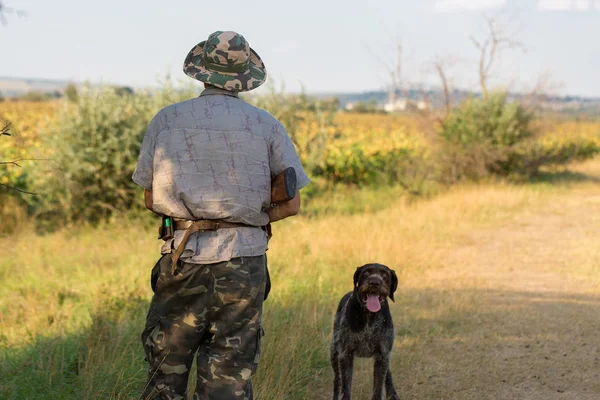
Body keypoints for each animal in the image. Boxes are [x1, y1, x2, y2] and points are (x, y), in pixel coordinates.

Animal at [330, 262, 400, 400]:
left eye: (385, 274)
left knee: (388, 375)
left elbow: (378, 387)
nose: (374, 282)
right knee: (337, 380)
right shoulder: (345, 354)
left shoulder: (382, 355)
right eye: (366, 272)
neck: (369, 316)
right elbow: (345, 387)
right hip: (334, 352)